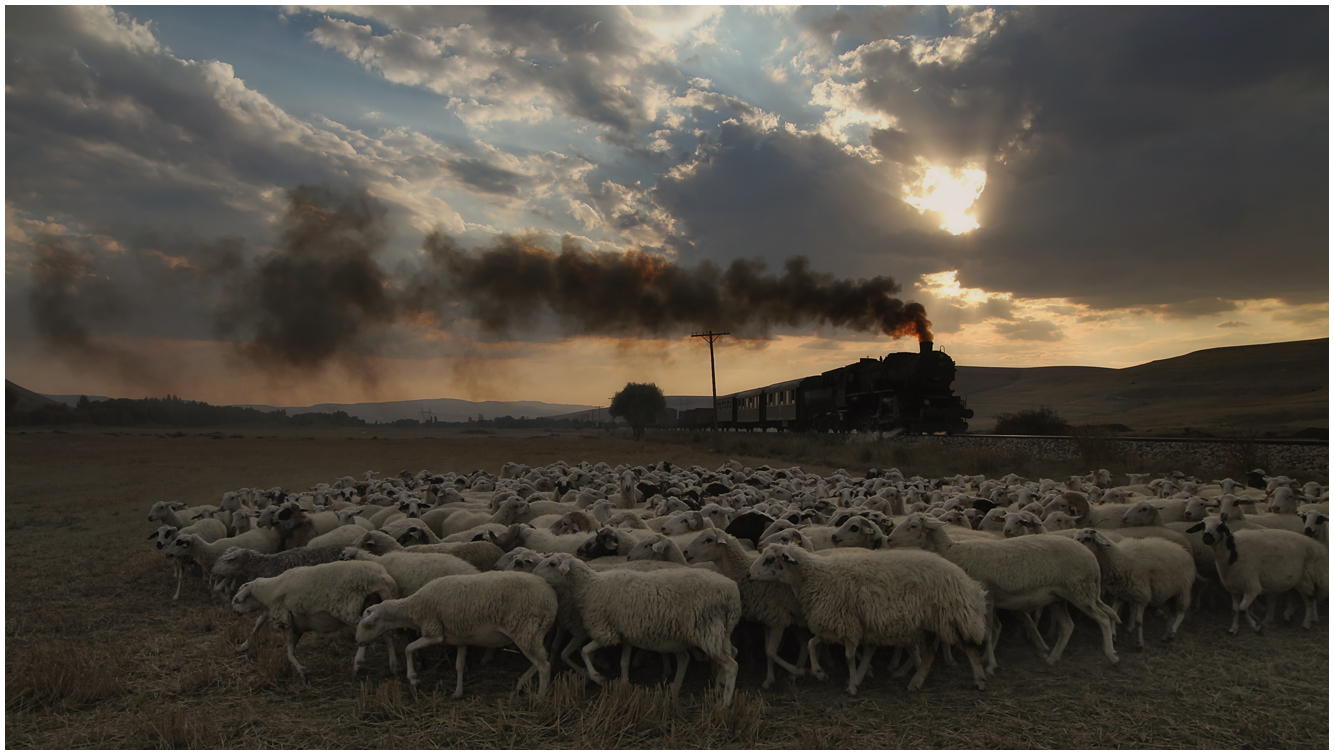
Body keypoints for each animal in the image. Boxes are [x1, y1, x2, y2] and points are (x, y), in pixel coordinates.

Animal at [354, 573, 557, 698]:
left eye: (368, 625)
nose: (358, 641)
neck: (413, 609)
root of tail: (551, 600)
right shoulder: (460, 639)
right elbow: (459, 666)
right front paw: (458, 693)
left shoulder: (433, 632)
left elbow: (407, 648)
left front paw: (413, 678)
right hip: (534, 632)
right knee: (540, 661)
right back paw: (521, 684)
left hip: (525, 629)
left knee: (544, 665)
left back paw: (539, 697)